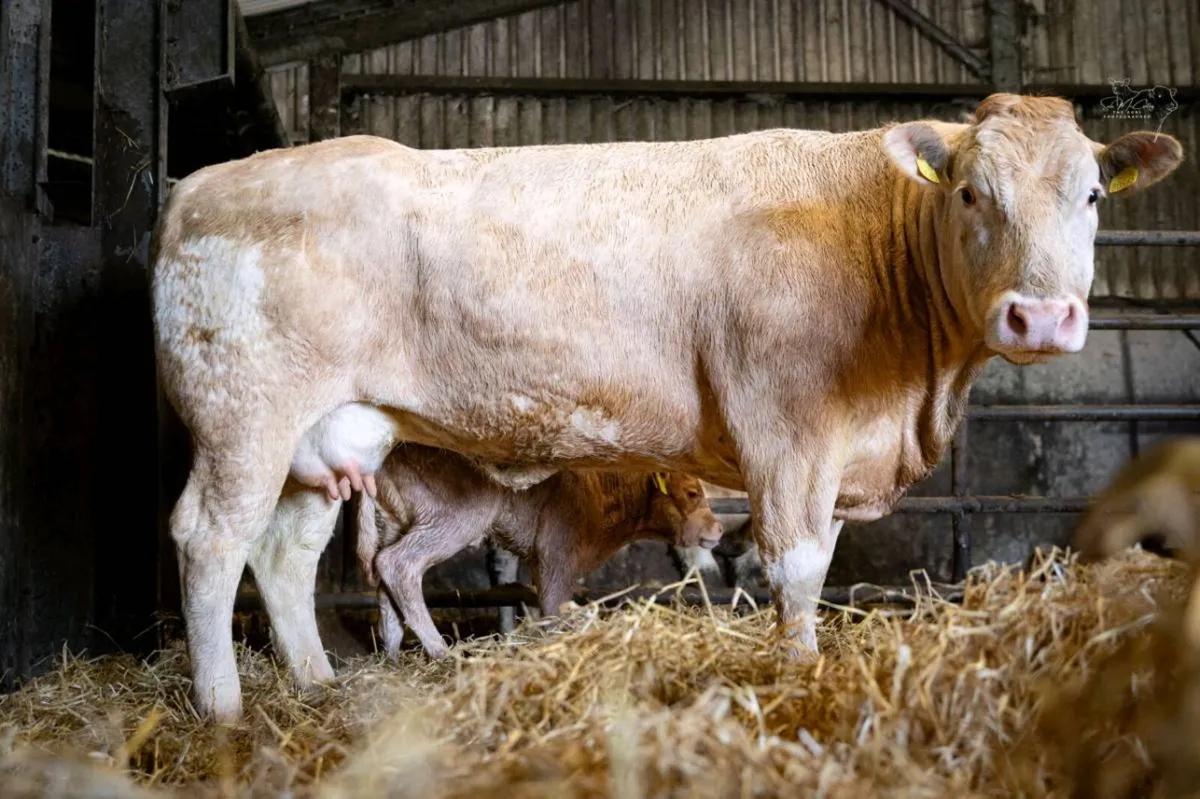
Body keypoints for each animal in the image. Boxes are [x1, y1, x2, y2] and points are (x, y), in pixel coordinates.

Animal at [352, 442, 725, 660]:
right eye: (692, 492)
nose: (718, 528)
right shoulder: (555, 555)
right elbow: (552, 609)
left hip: (395, 520)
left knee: (383, 576)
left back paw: (392, 659)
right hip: (458, 516)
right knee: (400, 564)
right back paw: (442, 652)